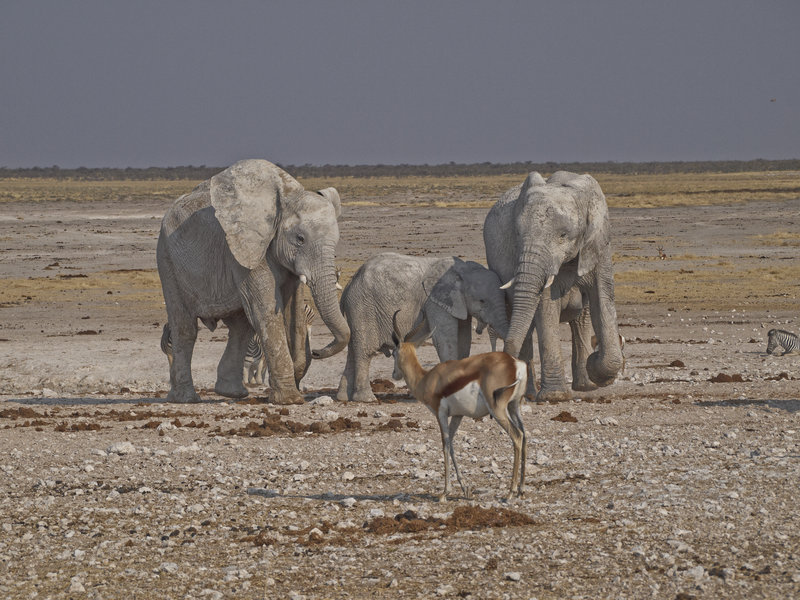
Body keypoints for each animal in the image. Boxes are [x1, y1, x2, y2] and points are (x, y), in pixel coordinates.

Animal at [156, 159, 350, 404]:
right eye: (300, 239)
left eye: (336, 240)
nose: (316, 351)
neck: (285, 197)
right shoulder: (245, 246)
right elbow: (266, 308)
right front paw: (290, 400)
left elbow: (290, 310)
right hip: (167, 258)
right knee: (185, 328)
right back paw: (186, 399)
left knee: (241, 327)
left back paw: (232, 393)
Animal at [336, 252, 510, 403]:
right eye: (482, 301)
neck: (463, 270)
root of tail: (348, 286)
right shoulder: (434, 301)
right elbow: (445, 340)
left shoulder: (458, 305)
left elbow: (464, 340)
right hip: (362, 308)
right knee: (364, 351)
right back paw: (366, 399)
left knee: (352, 350)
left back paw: (343, 397)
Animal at [483, 171, 623, 401]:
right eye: (517, 234)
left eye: (563, 235)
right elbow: (545, 306)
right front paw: (555, 397)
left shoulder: (599, 245)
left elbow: (603, 300)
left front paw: (596, 369)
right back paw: (530, 394)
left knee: (581, 318)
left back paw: (585, 386)